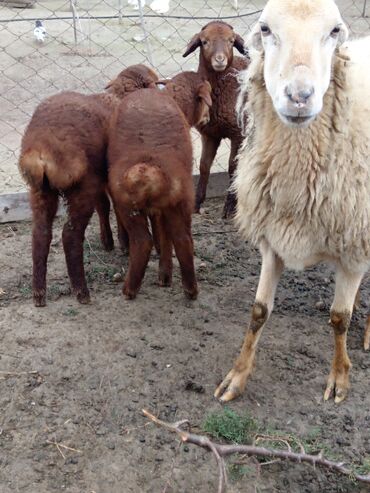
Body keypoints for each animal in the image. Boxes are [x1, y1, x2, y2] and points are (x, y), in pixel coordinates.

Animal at [18, 63, 158, 306]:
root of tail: (42, 147)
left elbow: (105, 206)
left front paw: (110, 241)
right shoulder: (109, 178)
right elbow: (115, 208)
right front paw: (123, 243)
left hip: (40, 190)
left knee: (40, 234)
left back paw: (39, 294)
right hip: (82, 187)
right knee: (70, 235)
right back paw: (81, 292)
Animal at [107, 80, 211, 300]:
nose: (207, 118)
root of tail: (149, 169)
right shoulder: (163, 208)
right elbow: (164, 235)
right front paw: (165, 274)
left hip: (127, 205)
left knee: (142, 241)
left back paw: (129, 289)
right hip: (181, 201)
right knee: (183, 240)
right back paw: (190, 290)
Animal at [184, 21, 250, 217]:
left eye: (231, 41)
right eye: (204, 42)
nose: (220, 60)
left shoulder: (237, 134)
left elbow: (232, 167)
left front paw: (230, 206)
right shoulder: (209, 134)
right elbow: (204, 166)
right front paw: (197, 203)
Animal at [214, 0, 370, 404]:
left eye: (334, 30)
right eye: (266, 29)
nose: (299, 96)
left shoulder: (353, 250)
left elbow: (339, 317)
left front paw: (339, 378)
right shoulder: (273, 240)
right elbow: (258, 311)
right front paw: (237, 376)